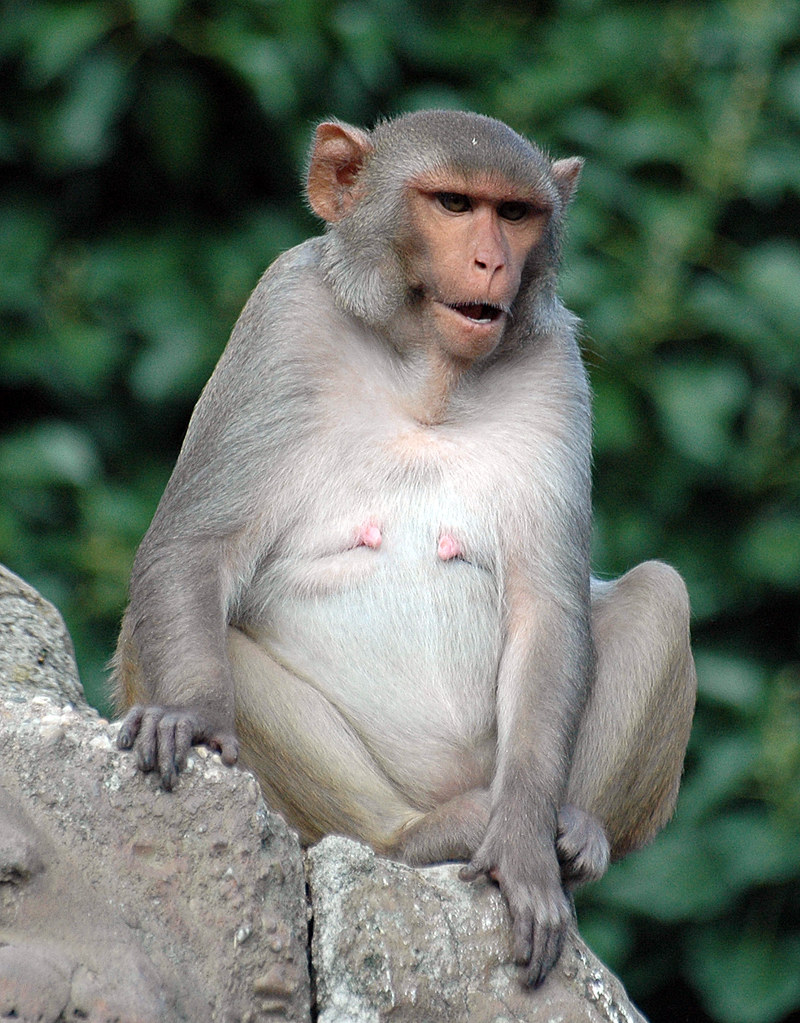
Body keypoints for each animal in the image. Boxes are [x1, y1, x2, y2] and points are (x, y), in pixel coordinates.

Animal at [112, 110, 696, 988]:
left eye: (515, 213)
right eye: (453, 204)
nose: (492, 260)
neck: (426, 371)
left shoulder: (554, 368)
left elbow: (550, 610)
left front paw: (526, 846)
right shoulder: (282, 317)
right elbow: (192, 547)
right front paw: (194, 714)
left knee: (663, 591)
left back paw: (574, 834)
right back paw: (415, 838)